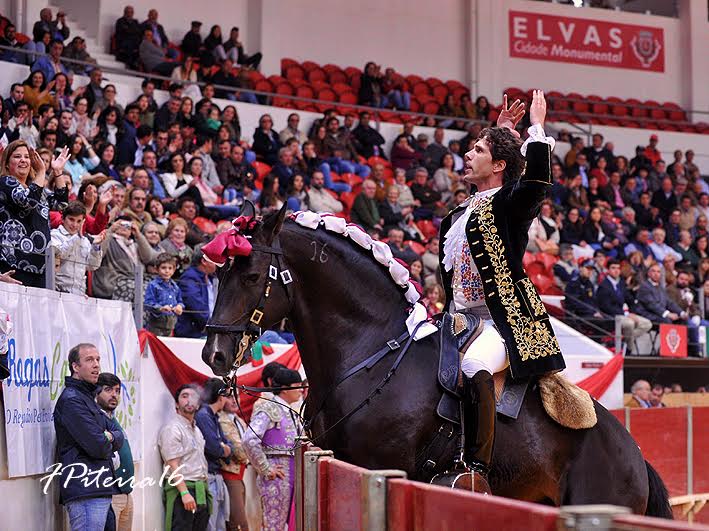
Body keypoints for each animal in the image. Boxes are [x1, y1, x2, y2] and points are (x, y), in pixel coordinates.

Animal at [202, 204, 672, 518]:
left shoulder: (383, 467)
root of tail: (632, 451)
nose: (213, 354)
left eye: (250, 276)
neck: (374, 354)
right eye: (218, 273)